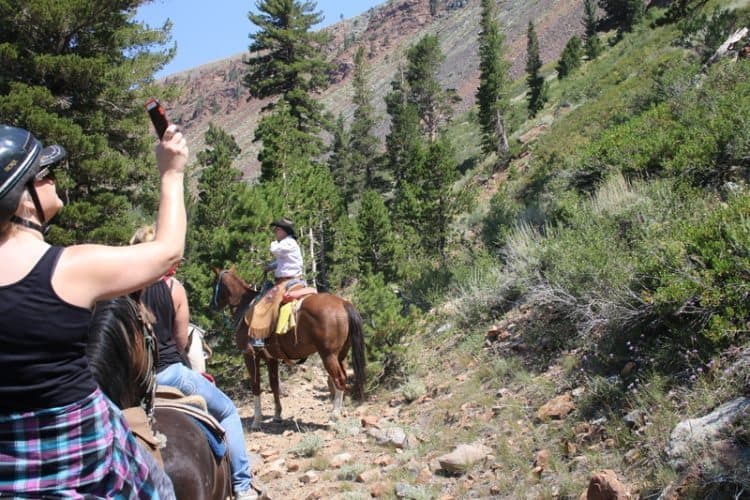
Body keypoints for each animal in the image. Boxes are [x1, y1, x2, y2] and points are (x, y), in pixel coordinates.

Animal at [212, 268, 368, 428]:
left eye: (214, 284)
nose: (212, 306)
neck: (245, 308)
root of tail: (343, 303)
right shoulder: (271, 359)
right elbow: (274, 385)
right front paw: (277, 415)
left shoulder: (250, 355)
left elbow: (256, 386)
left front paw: (257, 421)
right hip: (341, 355)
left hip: (328, 356)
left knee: (339, 380)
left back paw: (333, 417)